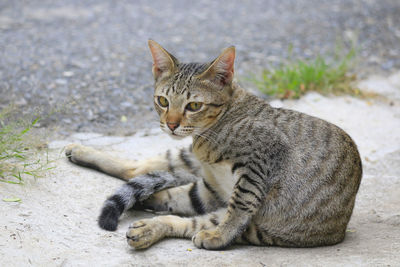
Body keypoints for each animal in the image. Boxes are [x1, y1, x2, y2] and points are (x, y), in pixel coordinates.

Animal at [65, 40, 362, 251]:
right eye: (162, 101)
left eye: (194, 105)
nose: (171, 124)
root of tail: (341, 227)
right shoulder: (210, 185)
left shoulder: (261, 159)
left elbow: (239, 206)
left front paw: (221, 236)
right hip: (204, 185)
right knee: (146, 177)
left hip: (257, 224)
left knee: (189, 219)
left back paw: (156, 226)